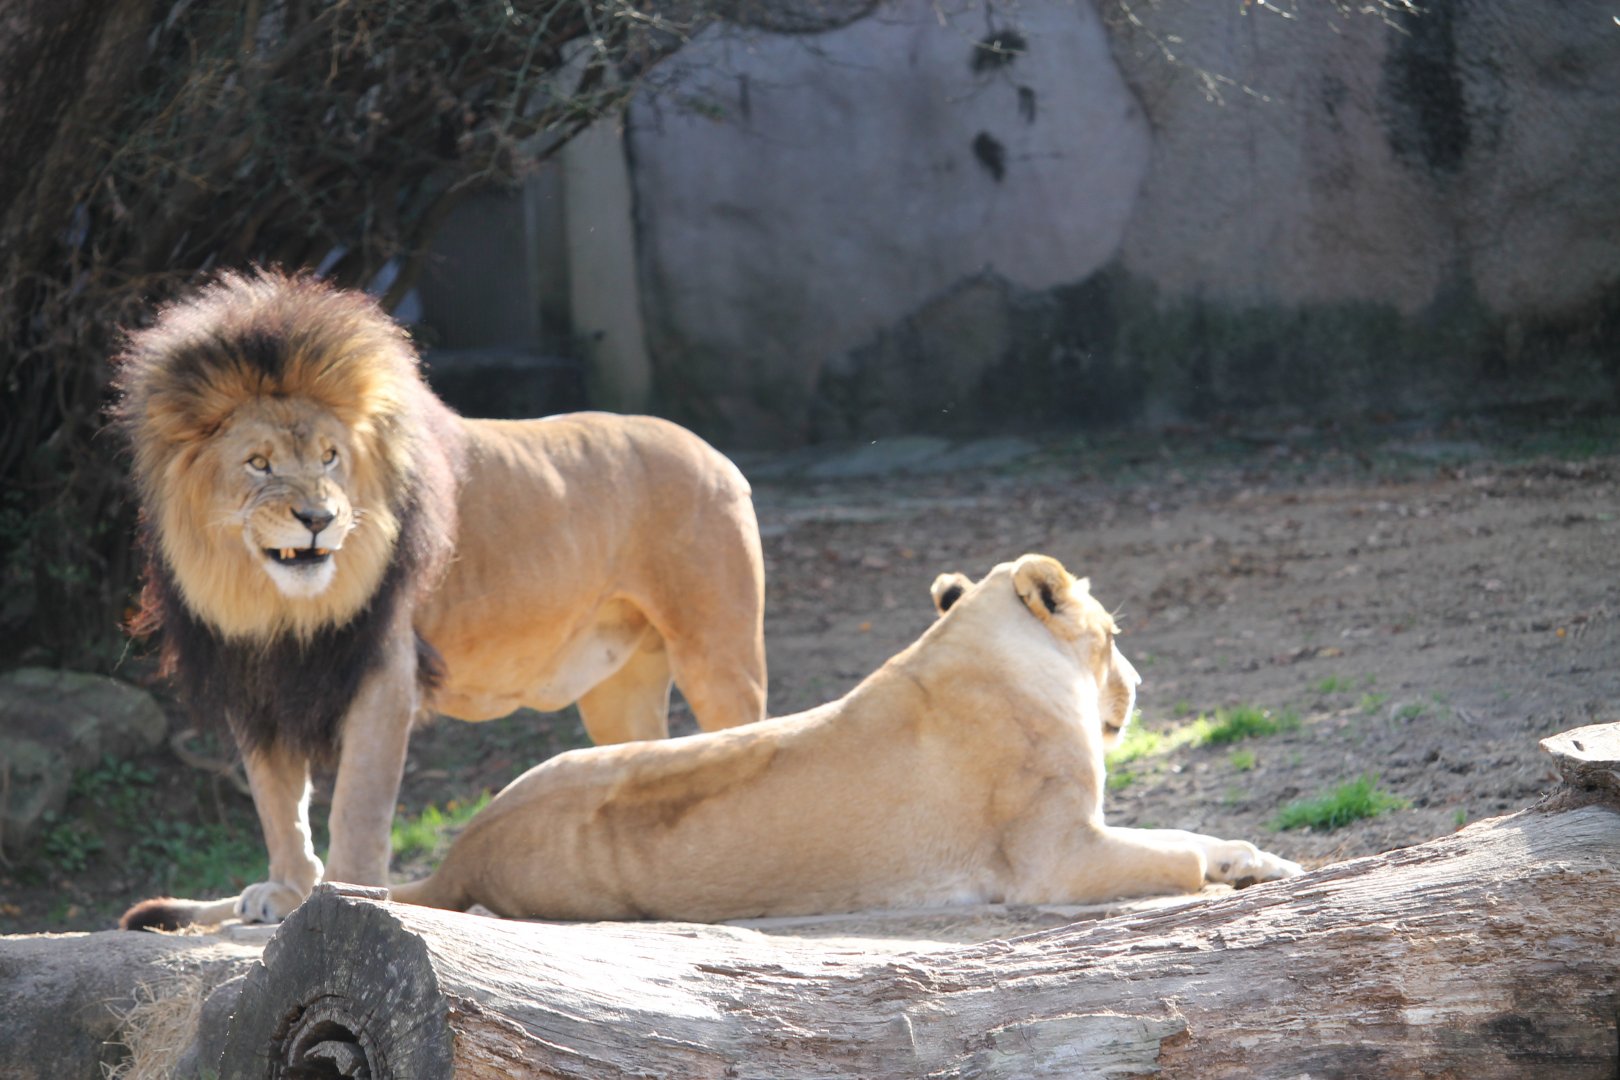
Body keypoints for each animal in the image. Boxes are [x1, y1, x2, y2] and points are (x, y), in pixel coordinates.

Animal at [113, 270, 766, 931]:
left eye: (330, 456)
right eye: (258, 463)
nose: (320, 519)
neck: (278, 605)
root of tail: (711, 451)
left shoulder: (385, 667)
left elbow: (358, 800)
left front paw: (346, 893)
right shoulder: (253, 677)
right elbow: (276, 798)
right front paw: (289, 889)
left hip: (717, 651)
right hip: (619, 689)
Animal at [388, 554, 1302, 921]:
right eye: (1112, 637)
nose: (1138, 687)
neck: (985, 648)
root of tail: (462, 846)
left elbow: (1189, 832)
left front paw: (1261, 861)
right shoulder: (1056, 859)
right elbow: (1175, 855)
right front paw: (1227, 878)